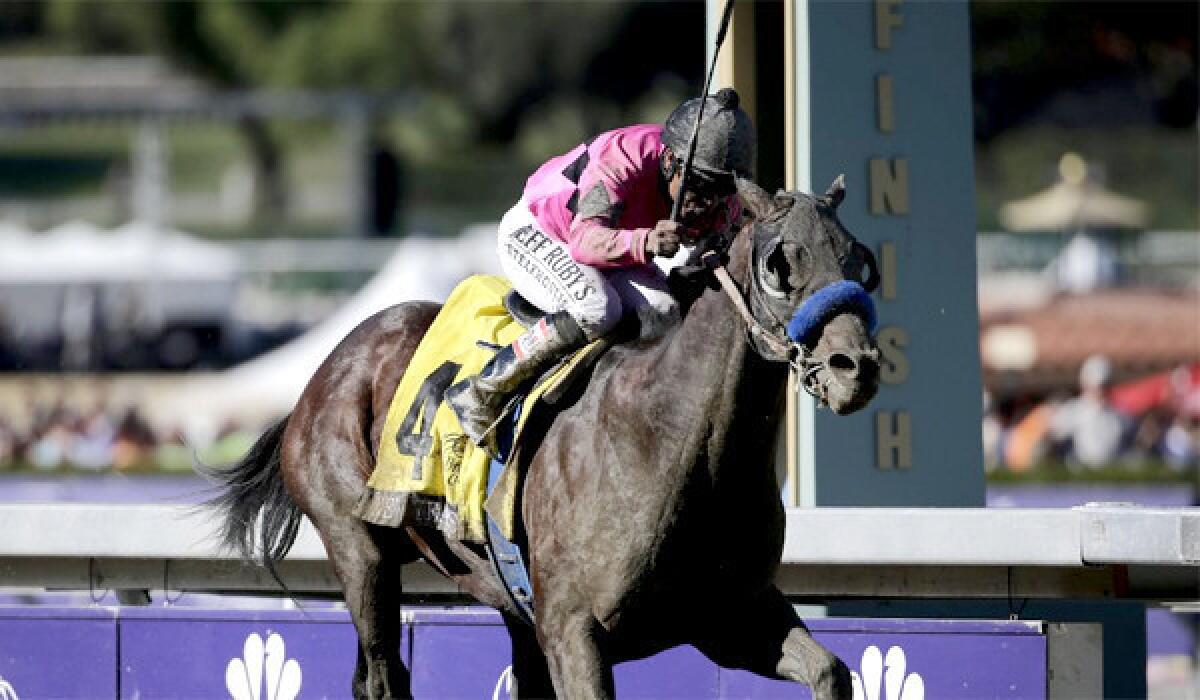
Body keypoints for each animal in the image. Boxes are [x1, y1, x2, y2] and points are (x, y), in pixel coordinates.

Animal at [201, 176, 883, 700]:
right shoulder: (575, 632)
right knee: (381, 674)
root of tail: (330, 364)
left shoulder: (730, 615)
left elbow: (831, 671)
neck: (672, 443)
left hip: (511, 607)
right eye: (780, 263)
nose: (856, 367)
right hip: (357, 547)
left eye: (859, 259)